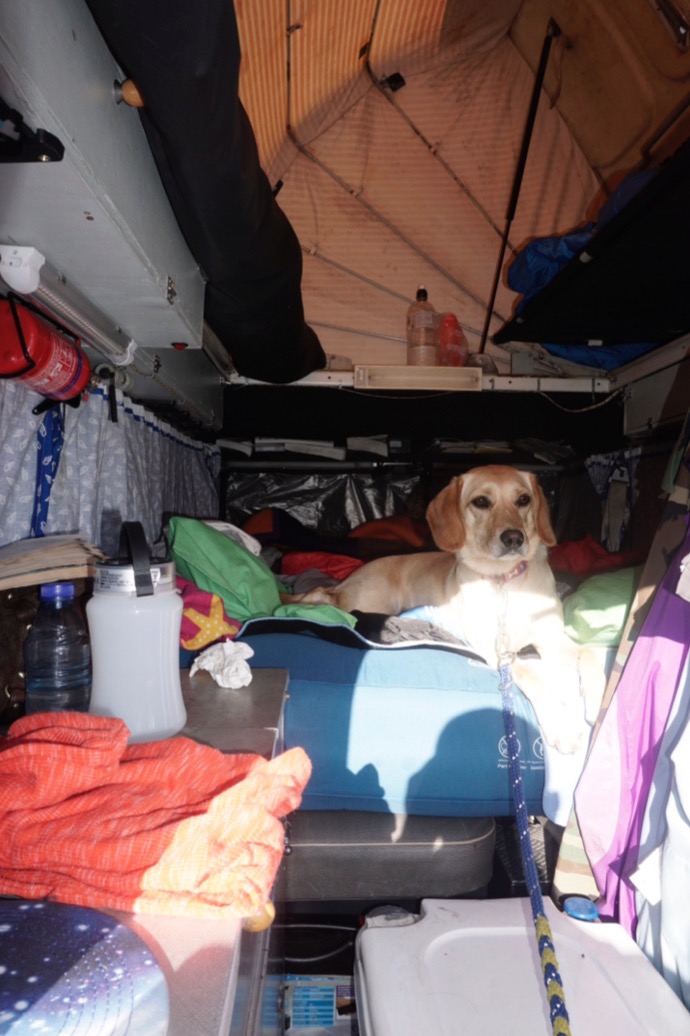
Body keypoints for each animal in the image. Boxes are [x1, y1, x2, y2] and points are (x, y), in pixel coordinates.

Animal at [285, 464, 605, 753]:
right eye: (481, 502)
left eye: (523, 499)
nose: (514, 538)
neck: (505, 582)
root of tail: (349, 579)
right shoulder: (495, 650)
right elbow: (532, 675)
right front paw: (563, 725)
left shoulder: (550, 639)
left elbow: (590, 654)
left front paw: (600, 699)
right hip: (371, 601)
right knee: (321, 594)